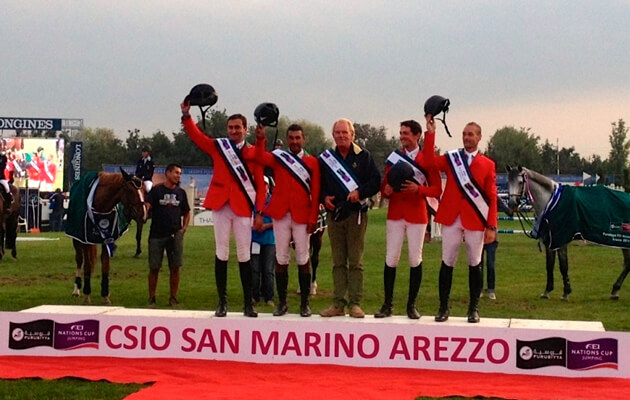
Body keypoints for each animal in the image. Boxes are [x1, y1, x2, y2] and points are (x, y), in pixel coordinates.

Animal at [68, 169, 148, 304]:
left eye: (144, 191)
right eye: (130, 190)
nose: (143, 214)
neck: (100, 205)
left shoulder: (107, 240)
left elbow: (105, 266)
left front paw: (105, 296)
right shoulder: (86, 240)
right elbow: (87, 266)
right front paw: (87, 295)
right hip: (77, 240)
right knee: (79, 260)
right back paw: (76, 289)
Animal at [508, 166, 630, 300]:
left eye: (520, 182)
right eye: (509, 182)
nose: (512, 204)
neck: (550, 201)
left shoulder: (561, 240)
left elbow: (563, 266)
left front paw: (566, 292)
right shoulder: (550, 241)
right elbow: (549, 265)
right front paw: (547, 291)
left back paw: (615, 289)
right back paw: (615, 290)